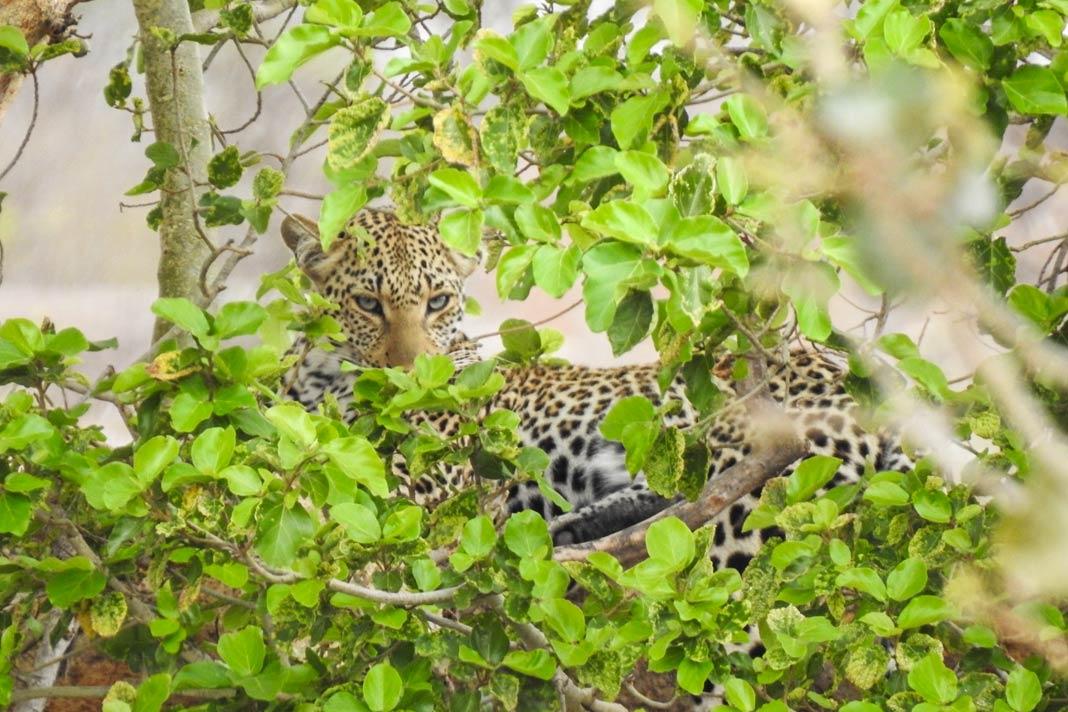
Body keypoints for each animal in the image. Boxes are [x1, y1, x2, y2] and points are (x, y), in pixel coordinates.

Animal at [280, 208, 912, 709]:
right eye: (368, 304)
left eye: (436, 303)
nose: (414, 377)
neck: (323, 380)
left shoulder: (430, 482)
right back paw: (564, 532)